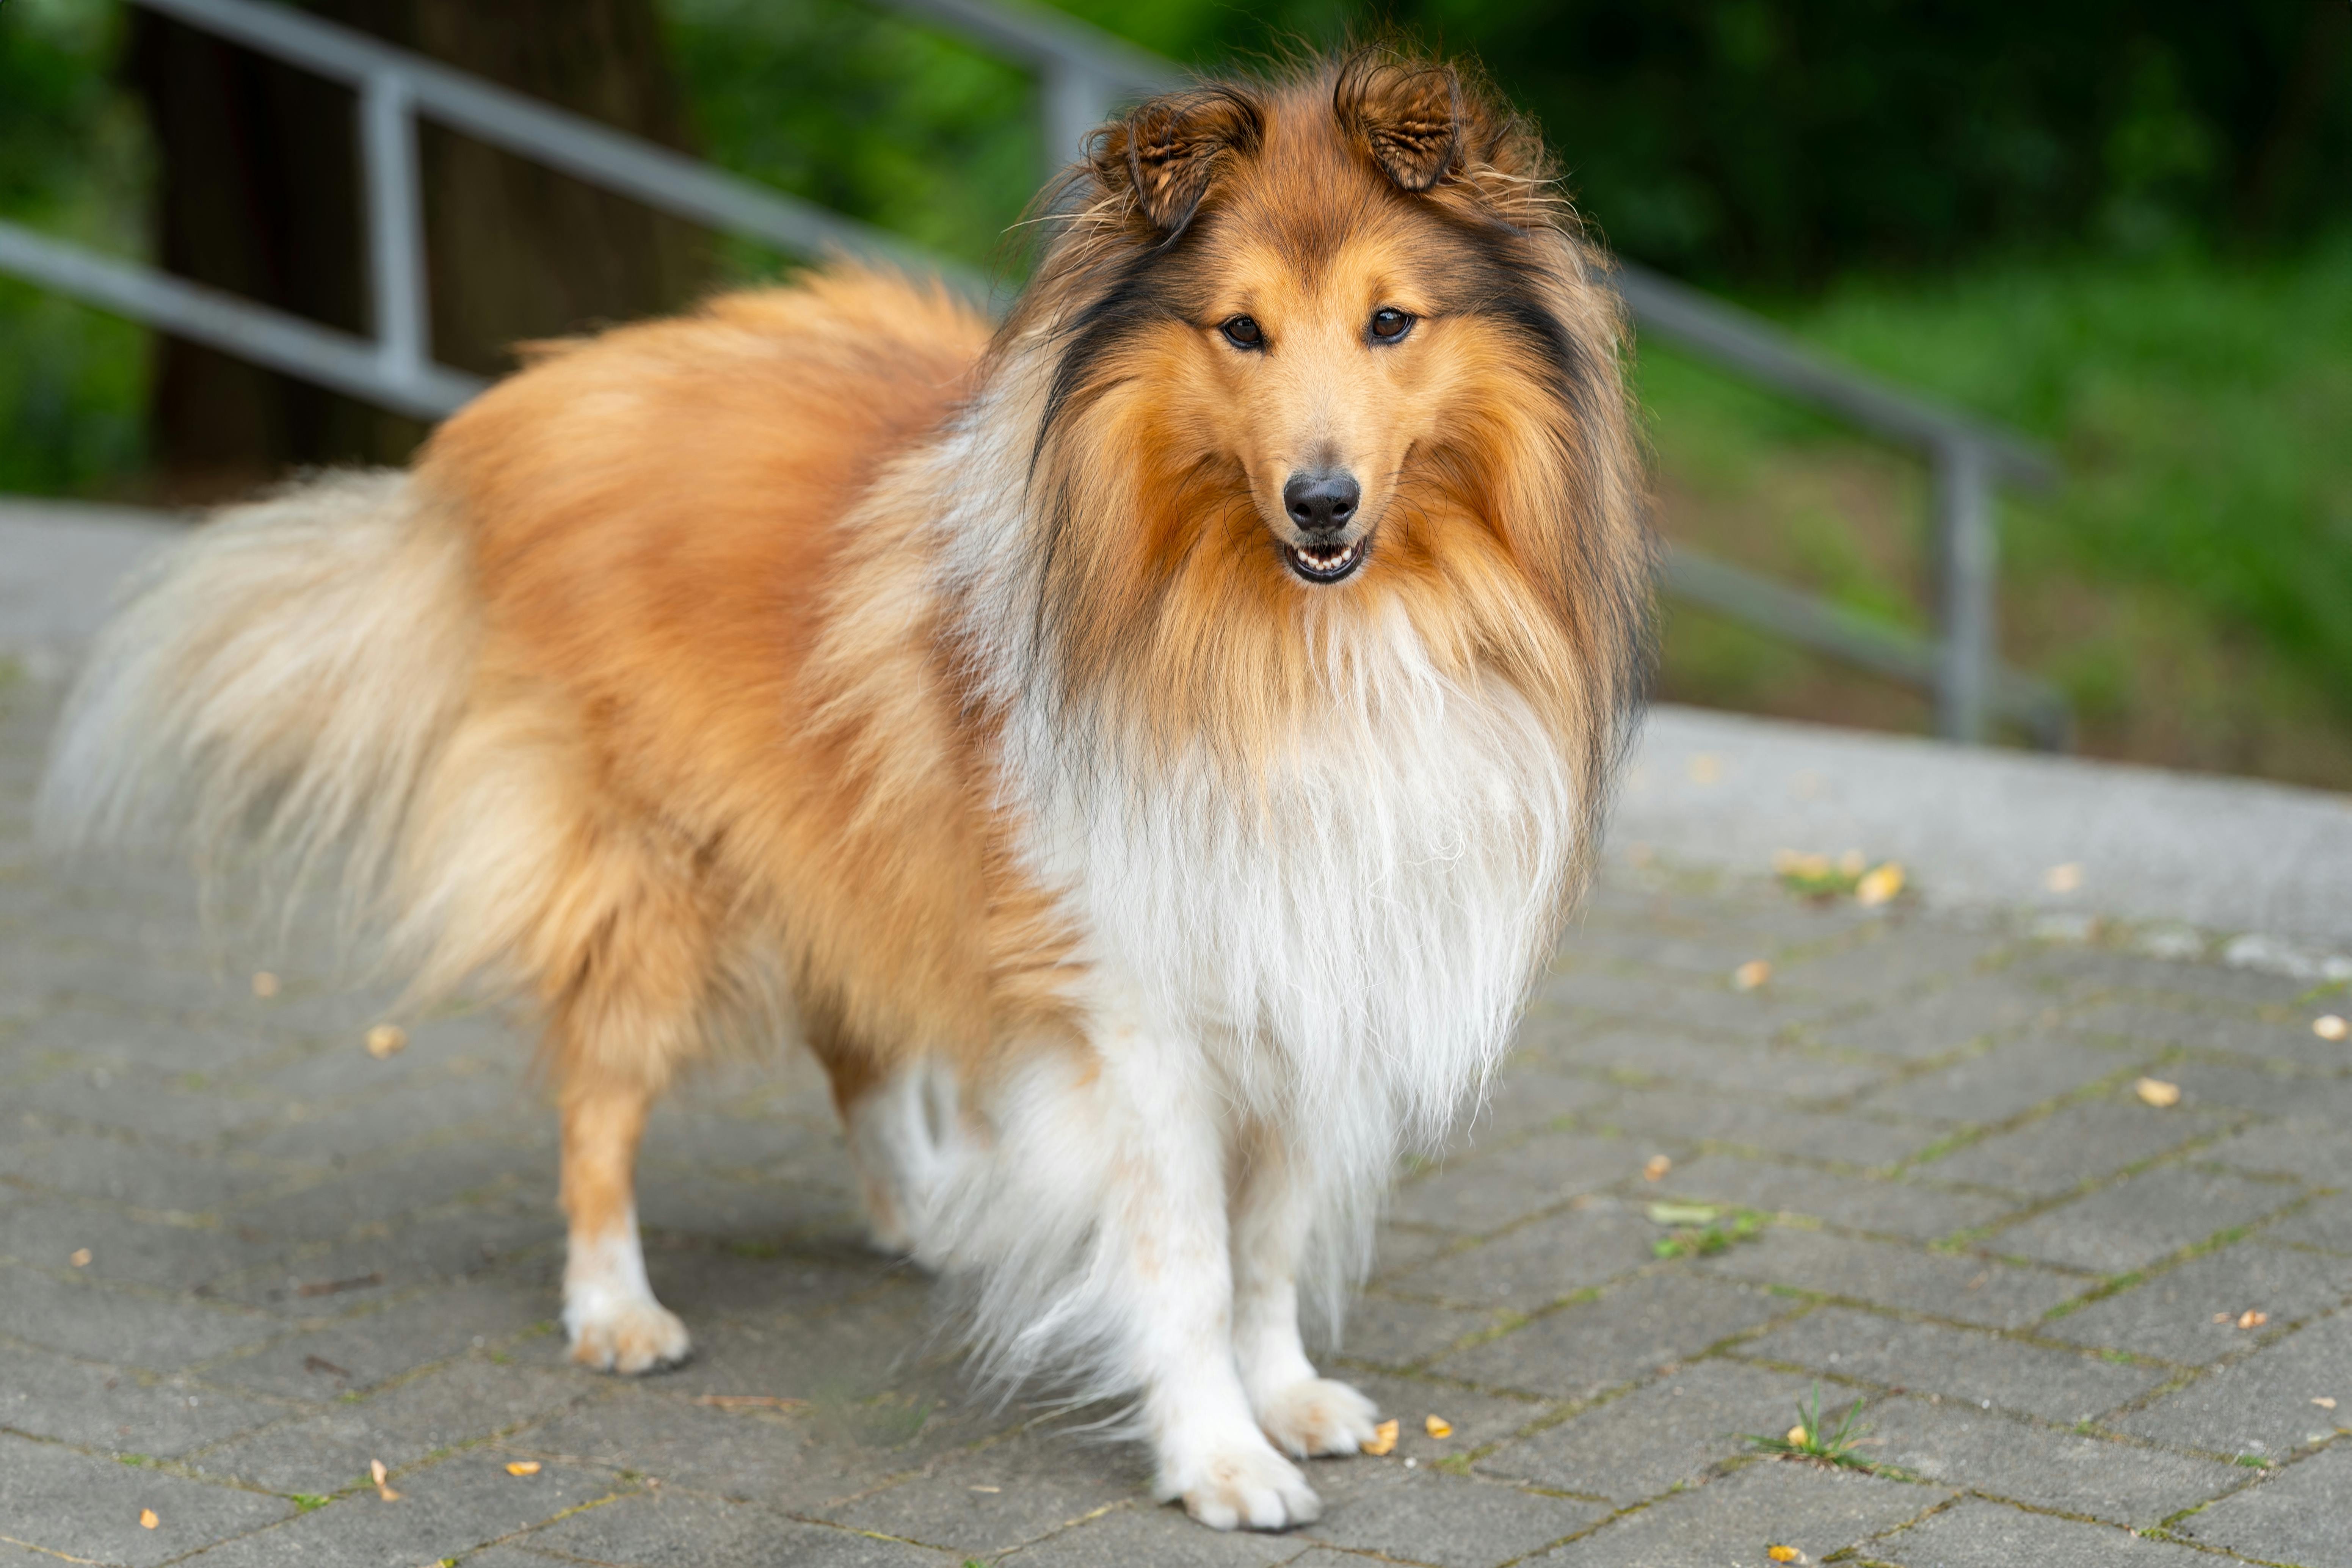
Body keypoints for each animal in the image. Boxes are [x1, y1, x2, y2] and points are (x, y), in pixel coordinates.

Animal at [41, 52, 1656, 1532]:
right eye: (1240, 331)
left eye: (1391, 322)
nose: (1322, 503)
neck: (1285, 626)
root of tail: (534, 398)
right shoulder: (1137, 998)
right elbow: (1189, 1255)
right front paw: (1216, 1455)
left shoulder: (1325, 954)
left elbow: (1268, 1237)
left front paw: (1285, 1392)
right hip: (655, 867)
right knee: (601, 1092)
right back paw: (616, 1308)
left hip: (851, 818)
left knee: (851, 1030)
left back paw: (939, 1216)